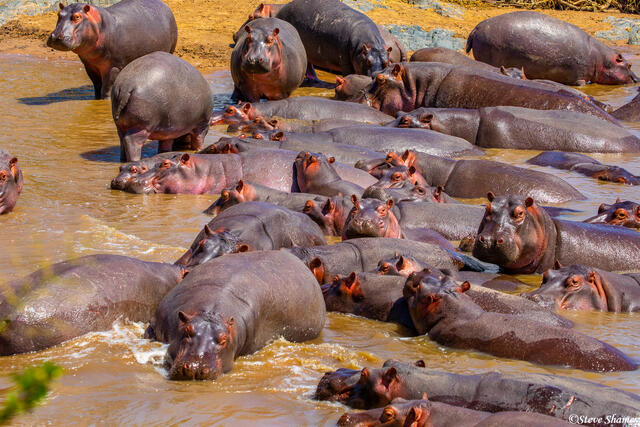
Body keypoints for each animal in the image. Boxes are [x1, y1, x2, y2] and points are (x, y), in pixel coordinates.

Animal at [47, 0, 177, 99]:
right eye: (59, 14)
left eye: (77, 17)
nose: (55, 37)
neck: (100, 25)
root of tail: (164, 5)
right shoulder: (89, 66)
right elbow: (97, 86)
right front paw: (96, 99)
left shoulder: (113, 67)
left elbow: (106, 89)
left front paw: (105, 100)